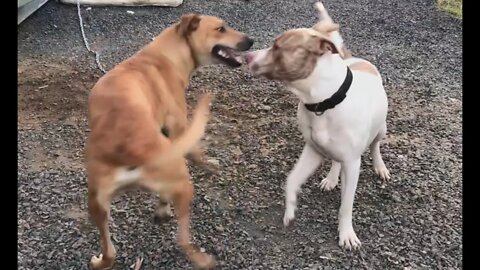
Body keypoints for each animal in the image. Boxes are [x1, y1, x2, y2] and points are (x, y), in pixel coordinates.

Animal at [85, 13, 253, 268]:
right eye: (221, 28)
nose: (251, 41)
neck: (166, 54)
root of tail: (125, 149)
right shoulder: (179, 127)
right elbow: (196, 151)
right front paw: (209, 164)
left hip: (97, 204)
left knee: (110, 252)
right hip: (184, 184)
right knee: (182, 239)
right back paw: (201, 258)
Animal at [248, 2, 390, 250]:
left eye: (277, 47)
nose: (246, 56)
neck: (324, 101)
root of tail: (355, 59)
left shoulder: (352, 164)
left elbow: (346, 206)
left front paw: (346, 234)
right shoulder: (312, 150)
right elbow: (291, 180)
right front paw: (290, 209)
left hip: (381, 129)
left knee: (375, 146)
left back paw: (379, 166)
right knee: (335, 160)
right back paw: (332, 178)